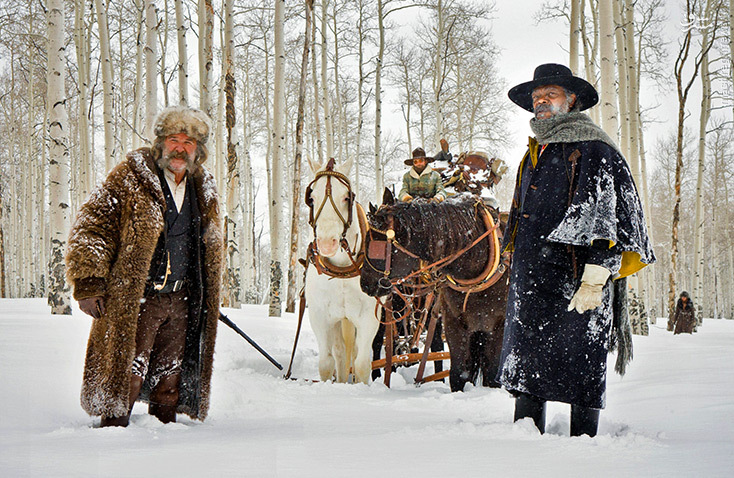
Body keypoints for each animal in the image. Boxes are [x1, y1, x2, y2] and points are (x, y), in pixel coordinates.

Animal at [304, 158, 382, 384]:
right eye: (312, 198)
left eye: (347, 197)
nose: (326, 244)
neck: (341, 269)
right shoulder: (320, 315)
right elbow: (326, 363)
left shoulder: (368, 317)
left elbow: (362, 363)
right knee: (339, 352)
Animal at [360, 189, 508, 390]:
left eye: (374, 244)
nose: (364, 283)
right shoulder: (453, 322)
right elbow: (458, 373)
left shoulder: (498, 326)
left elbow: (492, 375)